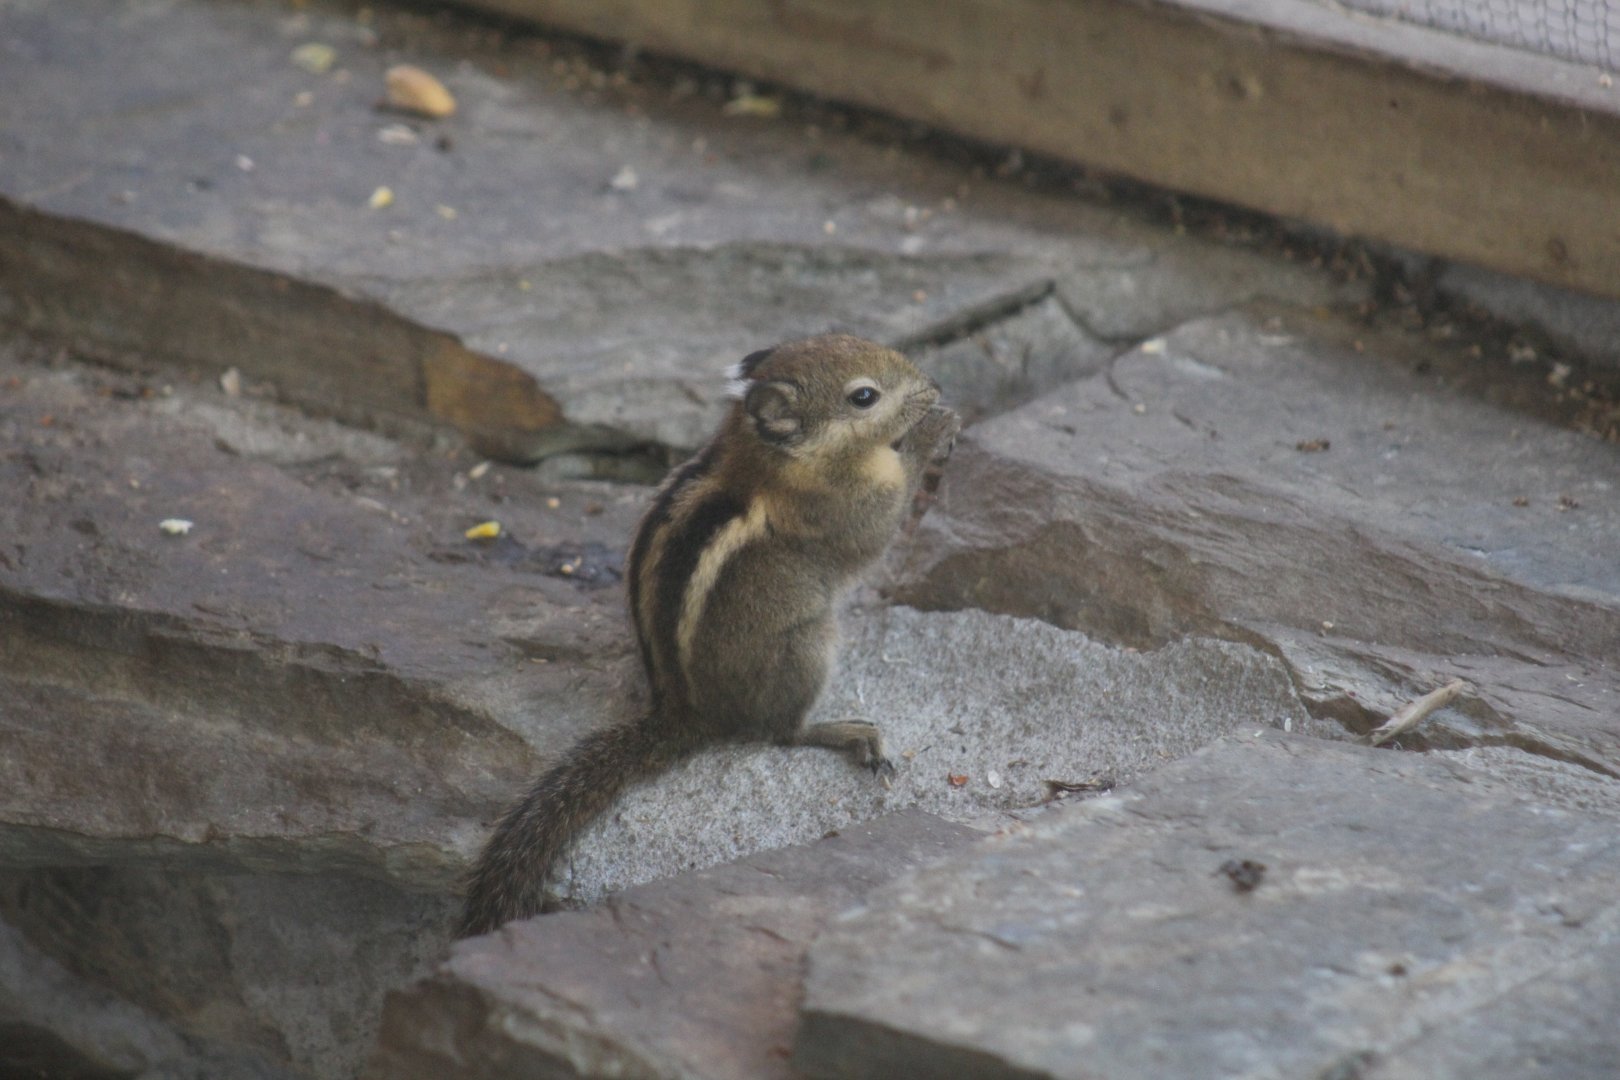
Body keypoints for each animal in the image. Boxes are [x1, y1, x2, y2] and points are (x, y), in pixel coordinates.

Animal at [457, 333, 960, 937]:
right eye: (865, 396)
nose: (937, 386)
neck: (769, 454)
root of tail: (686, 712)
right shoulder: (846, 507)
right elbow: (882, 522)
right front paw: (934, 429)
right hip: (806, 646)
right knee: (781, 733)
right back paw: (846, 732)